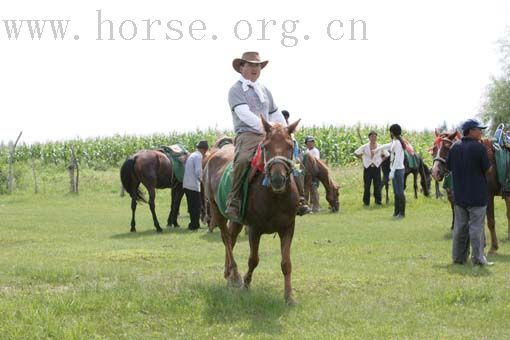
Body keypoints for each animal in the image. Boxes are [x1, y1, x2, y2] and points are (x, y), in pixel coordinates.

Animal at [201, 118, 300, 304]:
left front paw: (289, 296)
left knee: (231, 238)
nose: (277, 179)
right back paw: (235, 275)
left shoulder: (288, 228)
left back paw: (228, 275)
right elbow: (253, 260)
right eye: (266, 146)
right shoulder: (254, 229)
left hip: (237, 220)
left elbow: (286, 263)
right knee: (226, 239)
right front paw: (246, 285)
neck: (274, 197)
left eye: (290, 146)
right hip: (217, 211)